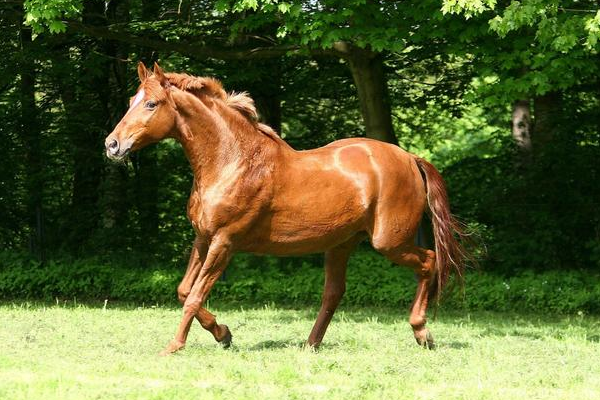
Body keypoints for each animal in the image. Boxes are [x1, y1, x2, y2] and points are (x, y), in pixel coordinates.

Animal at [104, 62, 468, 356]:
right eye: (131, 101)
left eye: (151, 103)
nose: (112, 145)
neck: (232, 161)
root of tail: (410, 157)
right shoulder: (203, 238)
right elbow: (183, 291)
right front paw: (224, 334)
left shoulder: (224, 242)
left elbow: (194, 296)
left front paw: (174, 346)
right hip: (341, 244)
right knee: (334, 292)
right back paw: (311, 345)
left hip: (389, 242)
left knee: (429, 262)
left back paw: (422, 333)